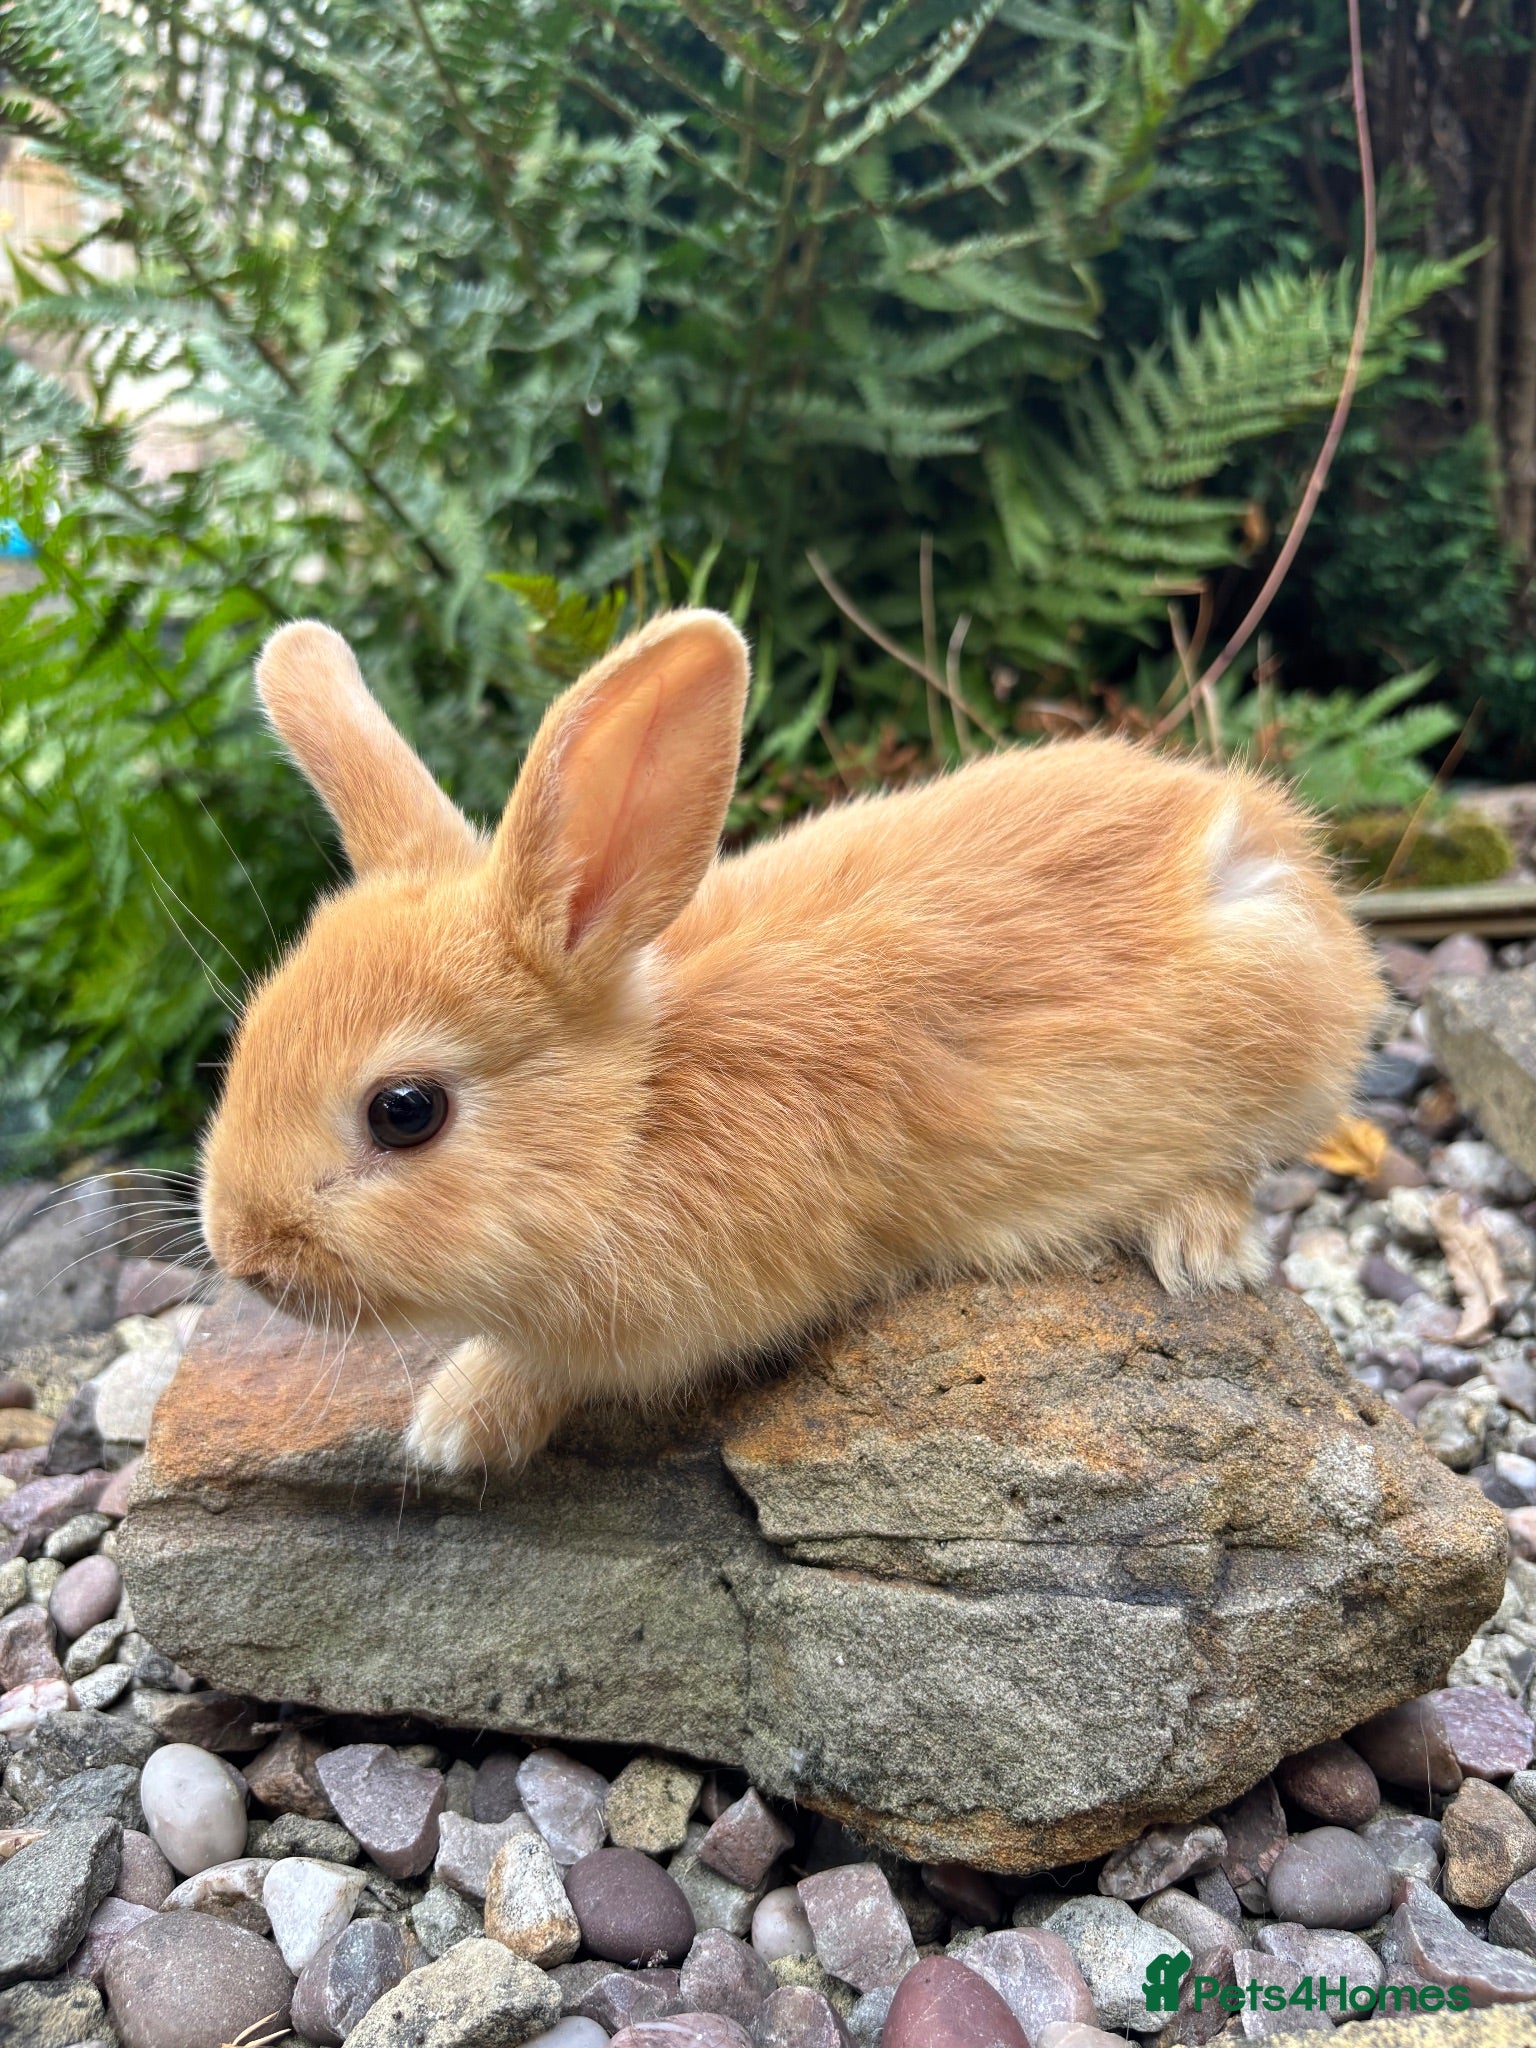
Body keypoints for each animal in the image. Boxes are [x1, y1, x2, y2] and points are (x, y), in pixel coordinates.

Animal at [200, 608, 1382, 1475]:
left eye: (405, 1112)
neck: (639, 1112)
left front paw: (454, 1425)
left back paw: (1201, 1248)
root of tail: (1285, 853)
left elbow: (554, 1369)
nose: (242, 1252)